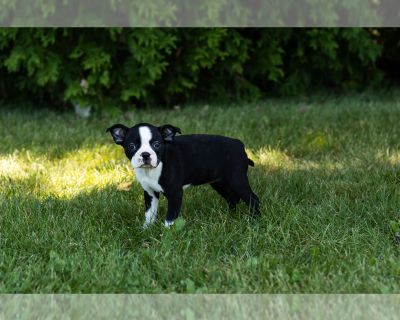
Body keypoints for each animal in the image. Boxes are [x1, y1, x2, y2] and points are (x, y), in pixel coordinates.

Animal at [106, 122, 260, 228]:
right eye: (131, 146)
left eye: (157, 144)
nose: (145, 154)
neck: (152, 170)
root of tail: (239, 144)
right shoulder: (150, 193)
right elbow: (149, 213)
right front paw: (146, 229)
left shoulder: (175, 193)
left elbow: (170, 217)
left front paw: (167, 233)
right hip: (219, 183)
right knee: (232, 198)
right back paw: (230, 216)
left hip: (236, 180)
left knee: (252, 199)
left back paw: (253, 220)